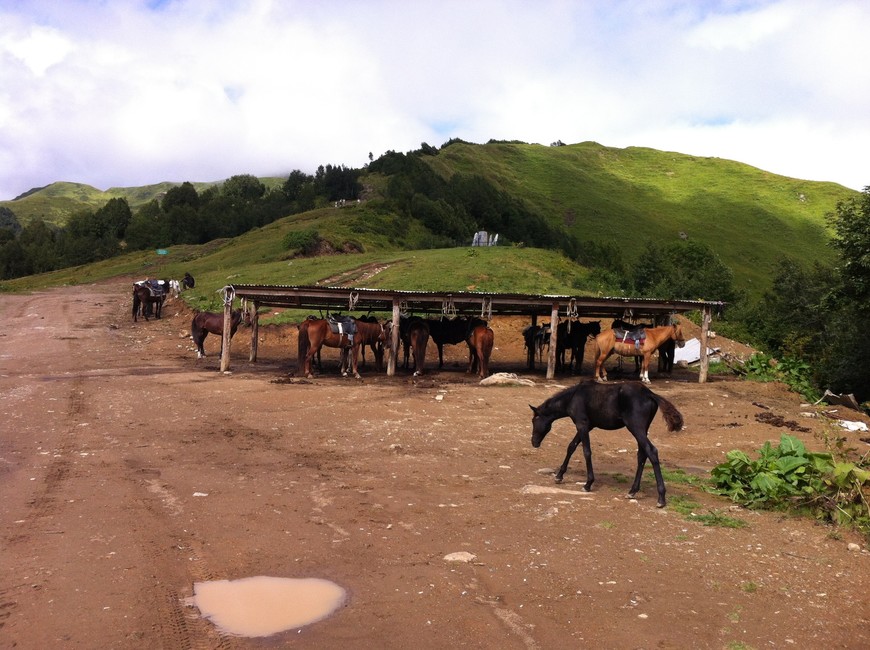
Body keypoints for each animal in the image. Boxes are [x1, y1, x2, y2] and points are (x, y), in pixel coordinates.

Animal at [532, 380, 688, 506]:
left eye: (534, 421)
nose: (534, 442)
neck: (574, 397)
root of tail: (649, 393)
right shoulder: (588, 426)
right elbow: (571, 447)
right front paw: (559, 476)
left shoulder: (582, 424)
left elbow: (586, 451)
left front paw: (588, 484)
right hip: (643, 429)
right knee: (642, 455)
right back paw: (632, 491)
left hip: (635, 427)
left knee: (652, 451)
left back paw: (661, 498)